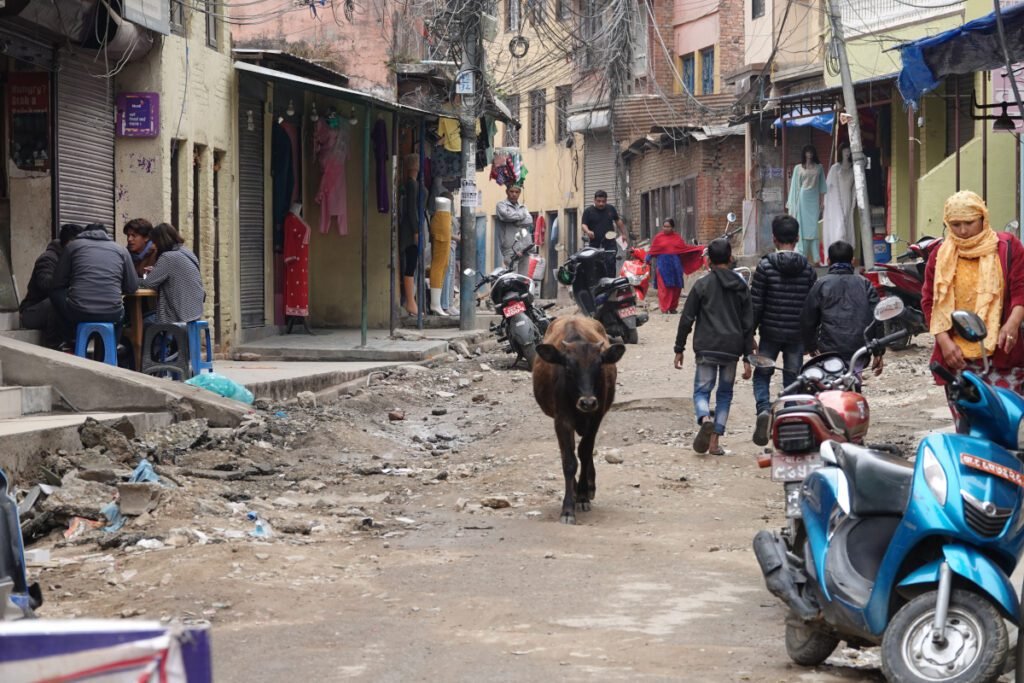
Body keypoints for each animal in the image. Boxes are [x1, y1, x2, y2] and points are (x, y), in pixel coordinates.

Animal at [532, 316, 626, 524]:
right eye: (568, 368)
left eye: (599, 366)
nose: (587, 402)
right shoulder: (562, 420)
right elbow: (569, 461)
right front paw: (568, 508)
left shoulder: (596, 418)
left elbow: (584, 452)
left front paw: (583, 495)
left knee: (586, 452)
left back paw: (589, 487)